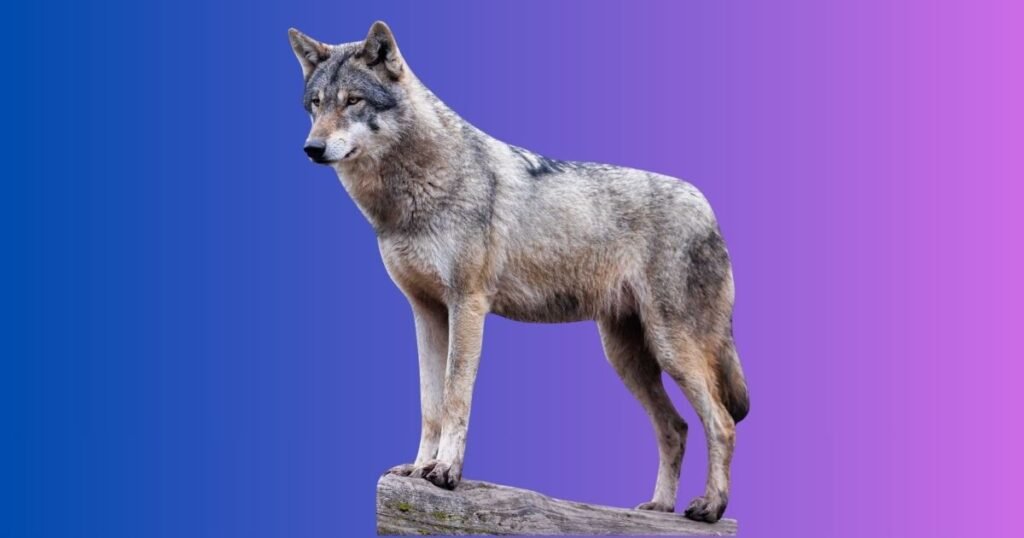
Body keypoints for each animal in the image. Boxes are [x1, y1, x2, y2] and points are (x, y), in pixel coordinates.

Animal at [288, 21, 749, 523]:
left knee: (722, 421)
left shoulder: (467, 306)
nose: (312, 148)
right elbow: (430, 404)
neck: (410, 195)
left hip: (671, 347)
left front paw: (445, 472)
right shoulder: (425, 312)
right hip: (626, 356)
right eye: (316, 104)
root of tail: (706, 206)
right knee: (676, 427)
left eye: (353, 101)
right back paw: (658, 509)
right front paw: (417, 468)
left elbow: (455, 396)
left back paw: (710, 507)